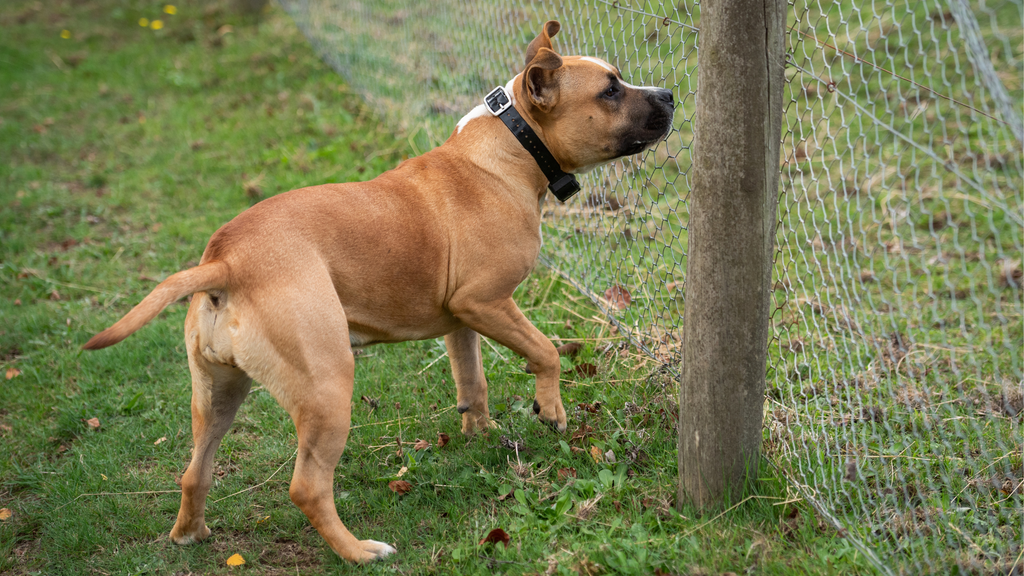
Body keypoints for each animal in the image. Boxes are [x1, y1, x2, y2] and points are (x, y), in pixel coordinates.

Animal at [86, 21, 671, 561]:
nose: (667, 95)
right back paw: (359, 551)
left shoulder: (462, 320)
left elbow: (473, 382)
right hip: (326, 388)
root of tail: (226, 261)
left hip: (218, 394)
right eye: (610, 90)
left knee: (195, 470)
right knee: (308, 487)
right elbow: (546, 350)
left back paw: (190, 533)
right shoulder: (485, 301)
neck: (512, 146)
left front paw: (480, 435)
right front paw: (550, 409)